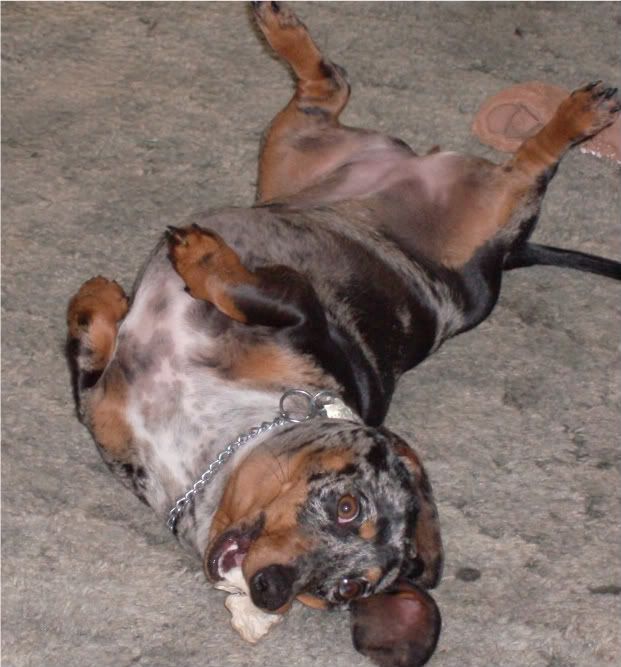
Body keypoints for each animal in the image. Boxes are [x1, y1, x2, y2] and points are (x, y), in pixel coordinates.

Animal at [66, 3, 621, 666]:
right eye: (348, 506)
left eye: (346, 590)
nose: (271, 589)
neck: (206, 442)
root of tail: (502, 259)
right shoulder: (299, 311)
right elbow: (221, 294)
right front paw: (130, 286)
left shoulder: (105, 400)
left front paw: (126, 289)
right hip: (293, 160)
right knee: (332, 91)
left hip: (470, 210)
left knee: (520, 163)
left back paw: (579, 115)